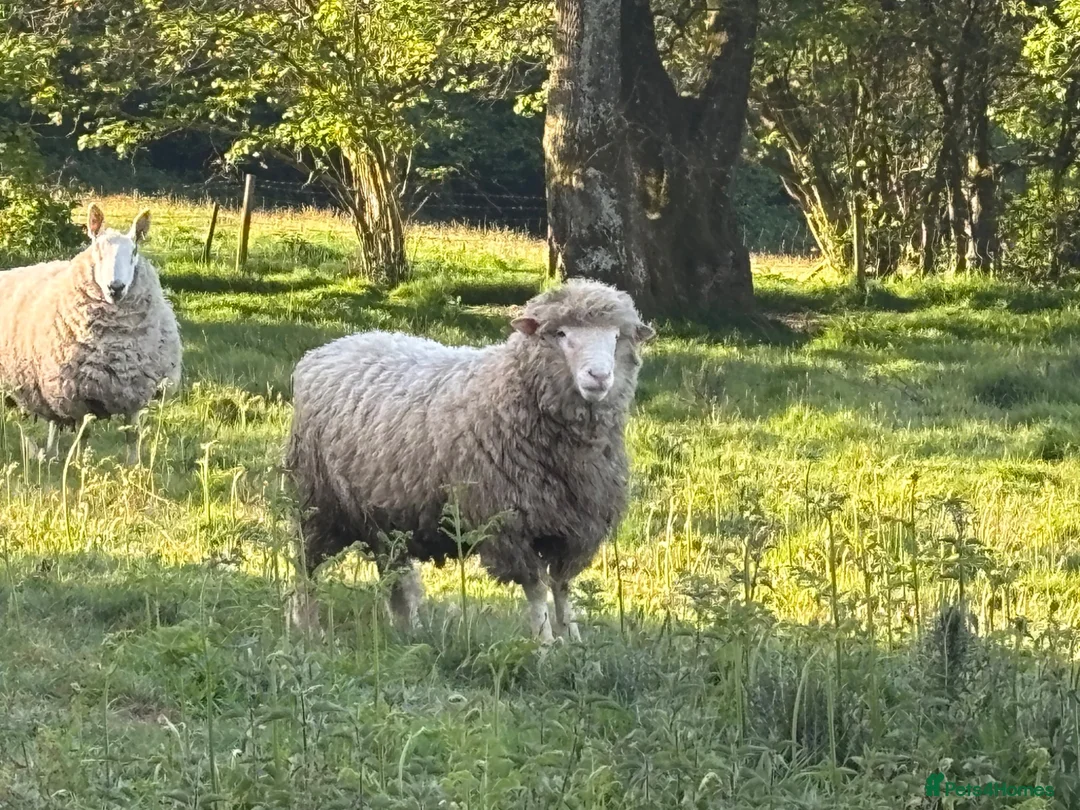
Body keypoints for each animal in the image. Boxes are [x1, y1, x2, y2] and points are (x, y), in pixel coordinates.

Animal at [0, 203, 182, 462]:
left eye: (134, 252)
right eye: (97, 251)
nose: (116, 287)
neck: (117, 346)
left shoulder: (134, 391)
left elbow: (133, 434)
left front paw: (134, 465)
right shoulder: (78, 393)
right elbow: (83, 435)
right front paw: (79, 463)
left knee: (55, 420)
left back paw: (52, 454)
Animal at [286, 279, 654, 643]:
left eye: (617, 337)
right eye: (561, 334)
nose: (598, 376)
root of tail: (329, 348)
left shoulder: (578, 528)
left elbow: (562, 585)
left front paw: (574, 641)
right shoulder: (508, 525)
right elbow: (536, 589)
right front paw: (545, 644)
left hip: (382, 516)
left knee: (393, 572)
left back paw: (408, 631)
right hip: (317, 501)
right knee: (306, 566)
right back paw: (309, 627)